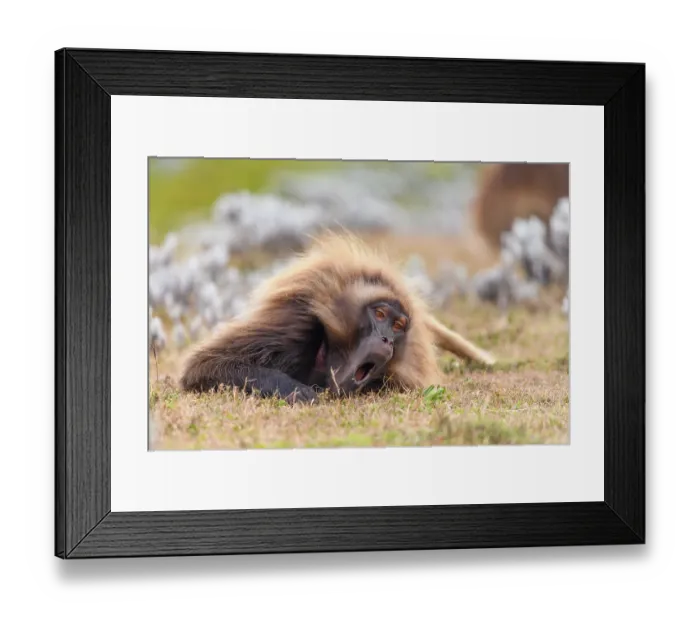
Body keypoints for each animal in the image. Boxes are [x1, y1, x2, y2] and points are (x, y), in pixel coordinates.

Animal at [179, 233, 496, 404]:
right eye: (380, 314)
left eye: (397, 325)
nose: (386, 339)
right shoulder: (294, 327)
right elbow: (205, 364)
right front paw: (296, 391)